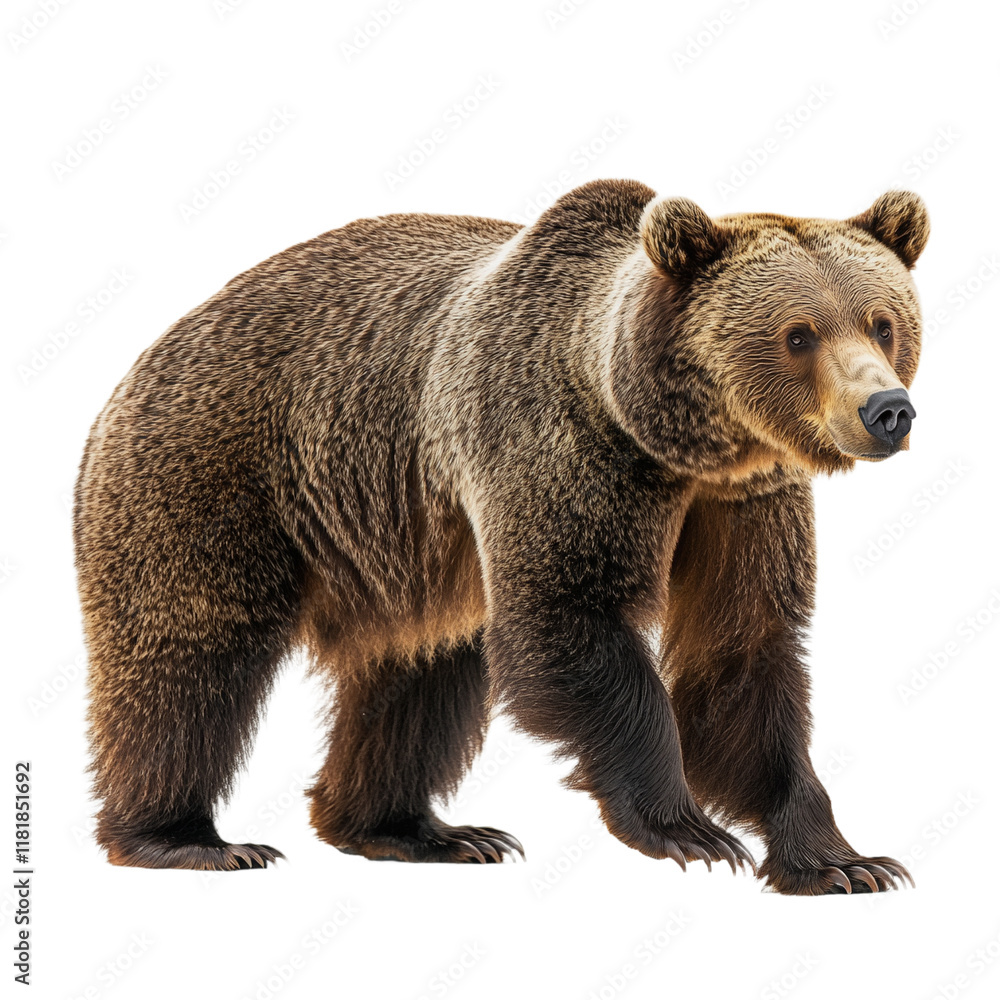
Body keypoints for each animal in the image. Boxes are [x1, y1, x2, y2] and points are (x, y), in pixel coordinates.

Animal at [74, 179, 928, 894]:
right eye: (799, 334)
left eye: (883, 322)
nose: (886, 409)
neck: (676, 443)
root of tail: (148, 352)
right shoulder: (554, 444)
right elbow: (571, 617)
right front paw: (689, 831)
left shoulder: (745, 500)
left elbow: (743, 652)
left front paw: (842, 861)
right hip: (214, 474)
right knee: (189, 655)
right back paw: (184, 838)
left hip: (404, 550)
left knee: (423, 673)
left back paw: (415, 830)